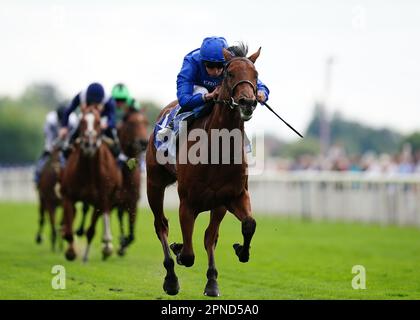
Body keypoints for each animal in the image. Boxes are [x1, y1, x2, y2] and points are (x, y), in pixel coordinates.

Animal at [146, 46, 260, 296]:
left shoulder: (232, 197)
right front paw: (178, 250)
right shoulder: (187, 203)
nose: (248, 102)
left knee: (209, 236)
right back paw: (171, 277)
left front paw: (239, 252)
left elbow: (246, 225)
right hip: (154, 184)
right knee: (161, 225)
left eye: (256, 75)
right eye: (230, 74)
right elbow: (188, 255)